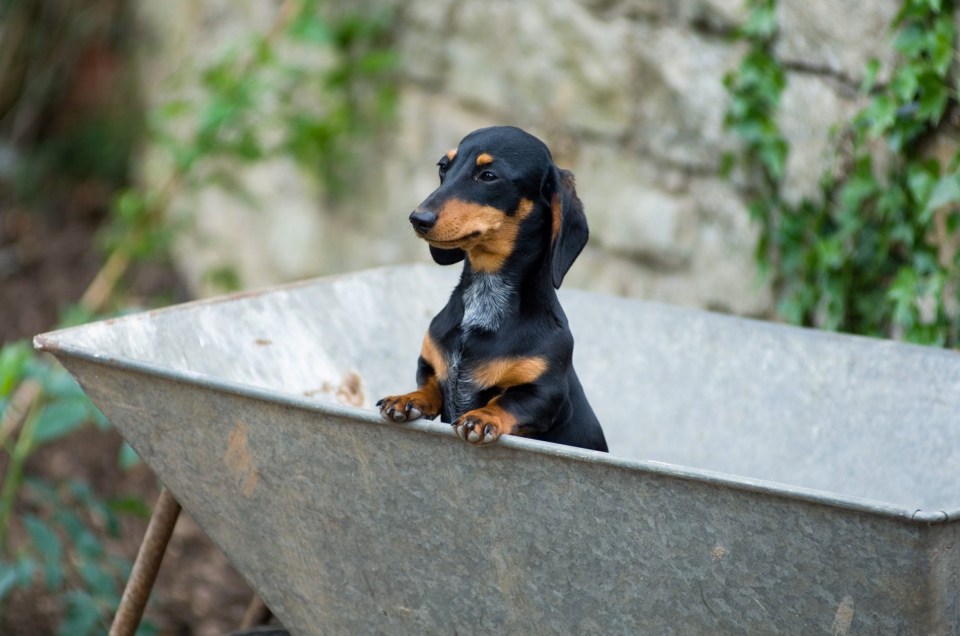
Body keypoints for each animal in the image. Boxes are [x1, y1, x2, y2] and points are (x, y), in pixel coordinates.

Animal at [376, 125, 608, 452]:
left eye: (488, 176)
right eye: (443, 167)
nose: (417, 218)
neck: (484, 300)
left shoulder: (546, 393)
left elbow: (507, 402)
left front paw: (482, 417)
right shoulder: (429, 365)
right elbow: (430, 387)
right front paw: (409, 399)